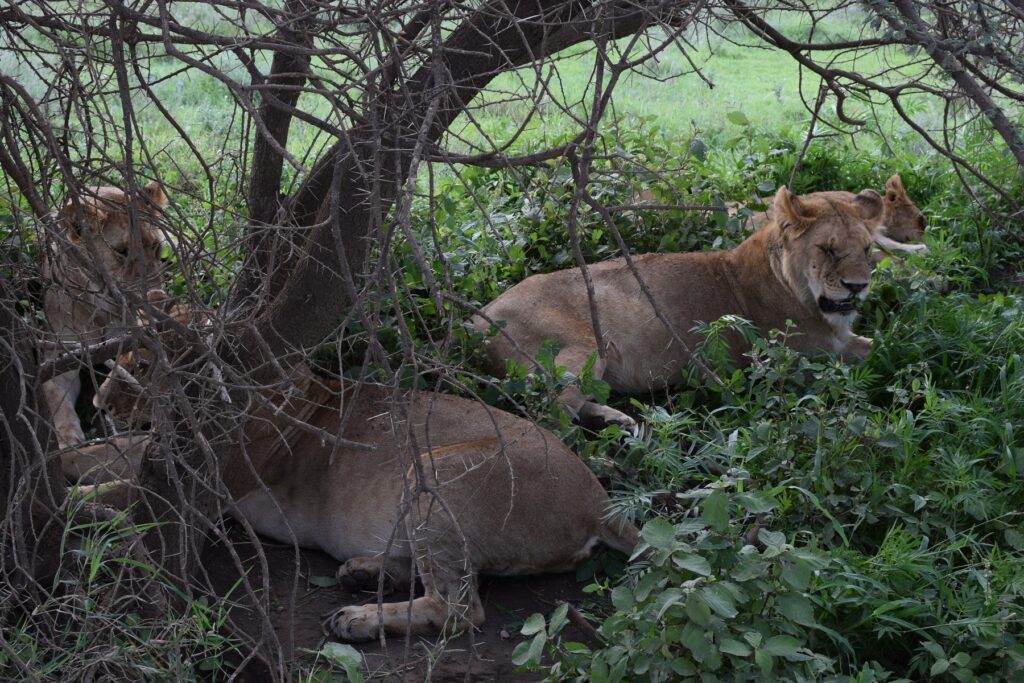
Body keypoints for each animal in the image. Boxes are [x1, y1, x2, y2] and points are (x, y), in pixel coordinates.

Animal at [42, 181, 169, 450]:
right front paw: (67, 438)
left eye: (154, 246)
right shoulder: (62, 352)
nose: (152, 292)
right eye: (121, 251)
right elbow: (55, 395)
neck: (100, 308)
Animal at [89, 305, 637, 642]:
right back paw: (363, 572)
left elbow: (114, 487)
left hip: (435, 468)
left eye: (140, 366)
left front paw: (80, 502)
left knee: (459, 609)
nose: (98, 404)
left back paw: (355, 618)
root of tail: (600, 502)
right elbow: (110, 457)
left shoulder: (207, 484)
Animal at [473, 186, 883, 431]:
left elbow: (878, 348)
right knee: (549, 413)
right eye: (828, 249)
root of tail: (474, 319)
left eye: (867, 250)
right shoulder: (796, 361)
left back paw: (615, 419)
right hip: (587, 349)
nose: (858, 286)